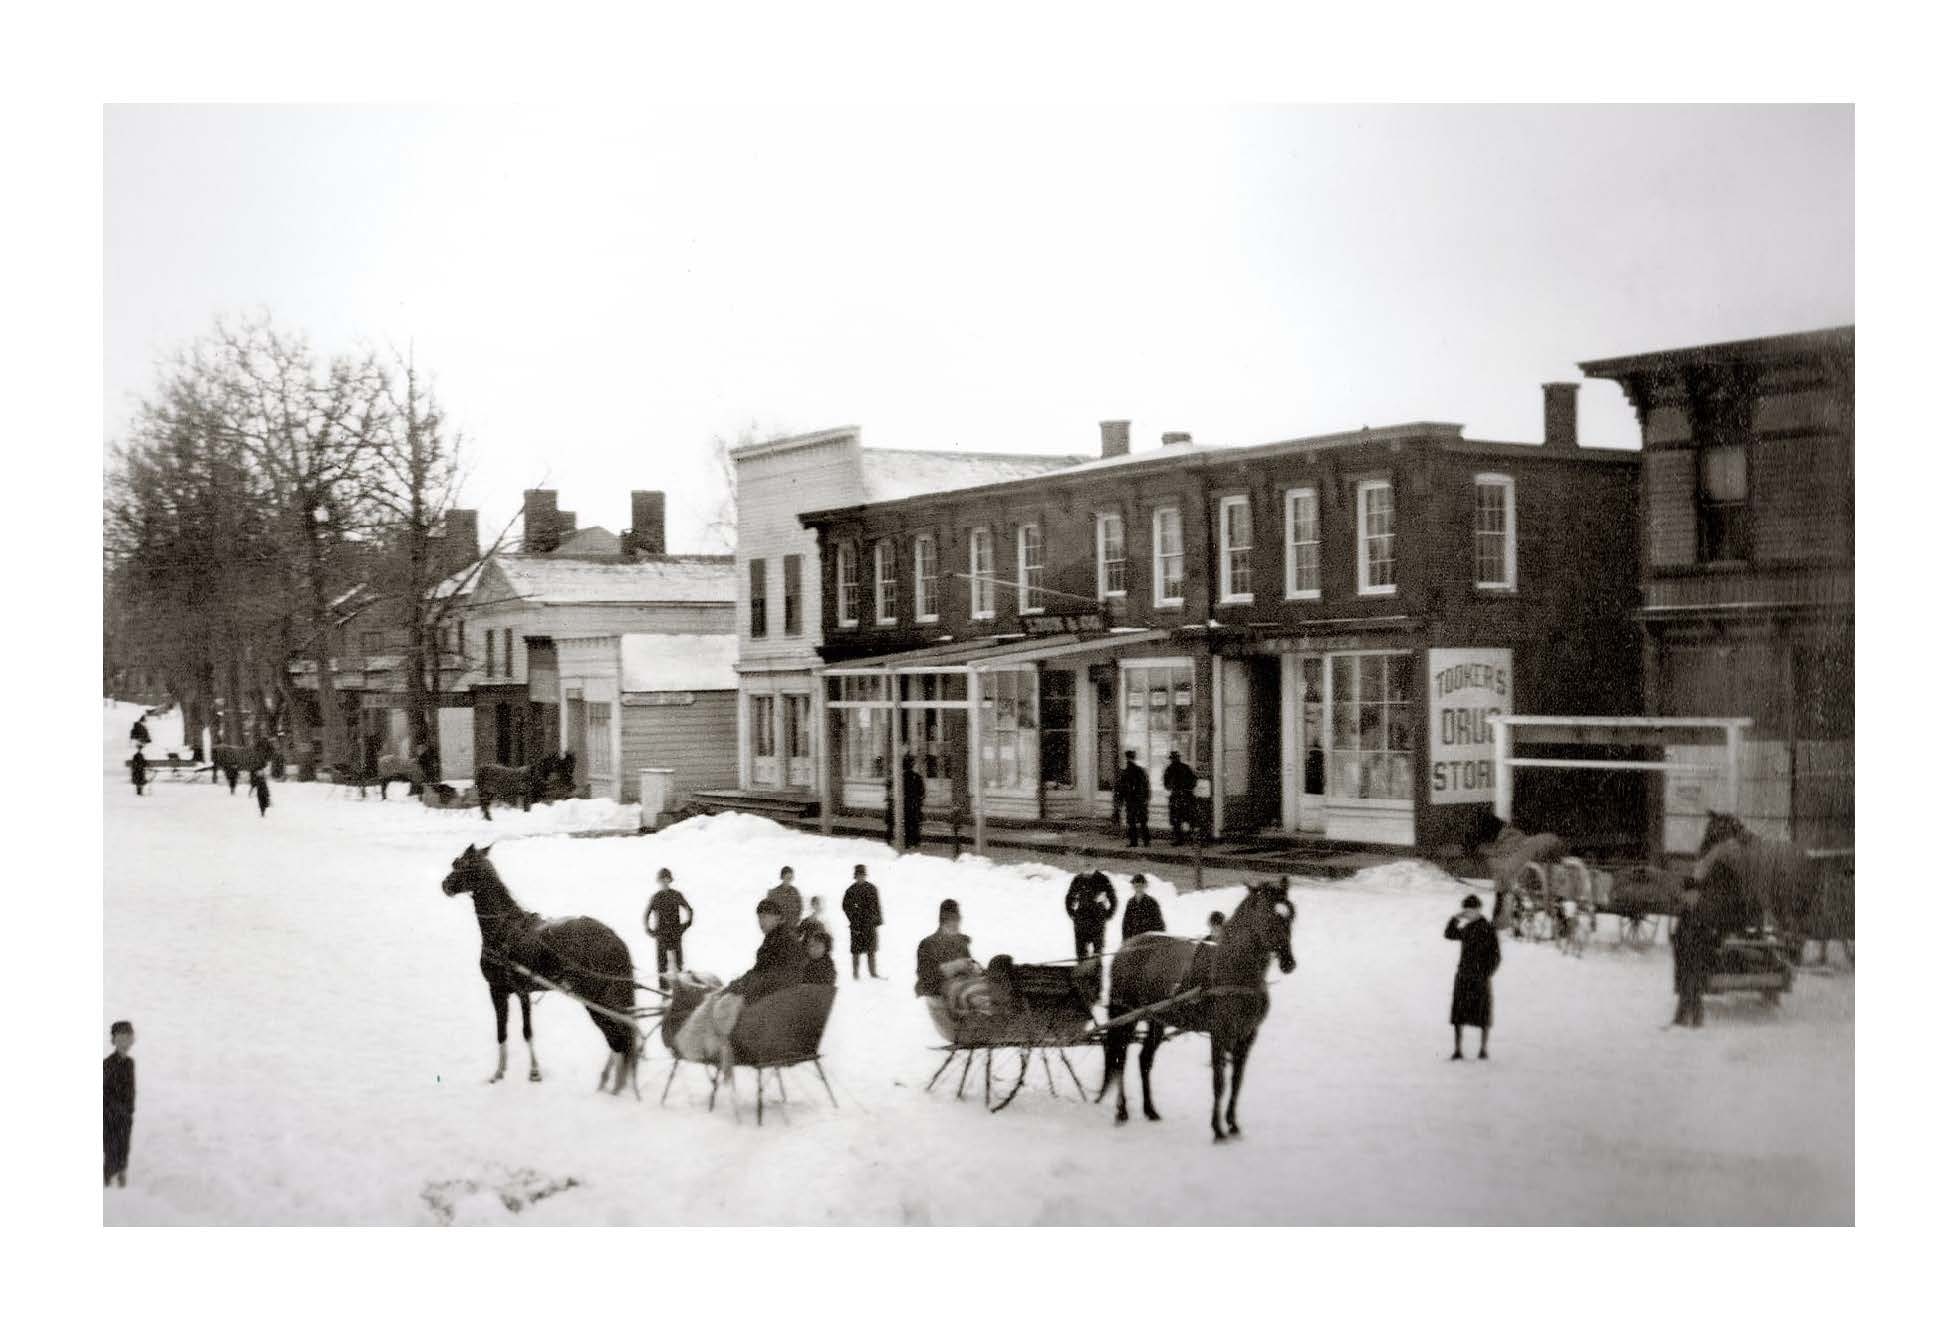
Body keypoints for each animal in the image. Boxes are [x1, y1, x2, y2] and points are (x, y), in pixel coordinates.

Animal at [441, 842, 638, 1089]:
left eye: (459, 864)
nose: (444, 885)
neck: (504, 931)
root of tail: (616, 939)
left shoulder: (516, 991)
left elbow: (526, 1032)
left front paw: (534, 1072)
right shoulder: (502, 991)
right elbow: (502, 1033)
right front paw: (499, 1072)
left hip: (596, 999)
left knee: (618, 1038)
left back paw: (611, 1086)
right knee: (620, 1037)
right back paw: (608, 1082)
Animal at [1105, 878, 1301, 1137]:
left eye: (1290, 914)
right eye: (1268, 915)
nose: (1289, 963)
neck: (1234, 970)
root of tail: (1126, 947)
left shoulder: (1247, 1035)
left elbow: (1237, 1081)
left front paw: (1232, 1124)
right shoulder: (1219, 1033)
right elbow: (1219, 1082)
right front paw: (1217, 1129)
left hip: (1156, 1019)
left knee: (1144, 1060)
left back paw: (1150, 1110)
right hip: (1126, 1015)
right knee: (1120, 1059)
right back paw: (1122, 1111)